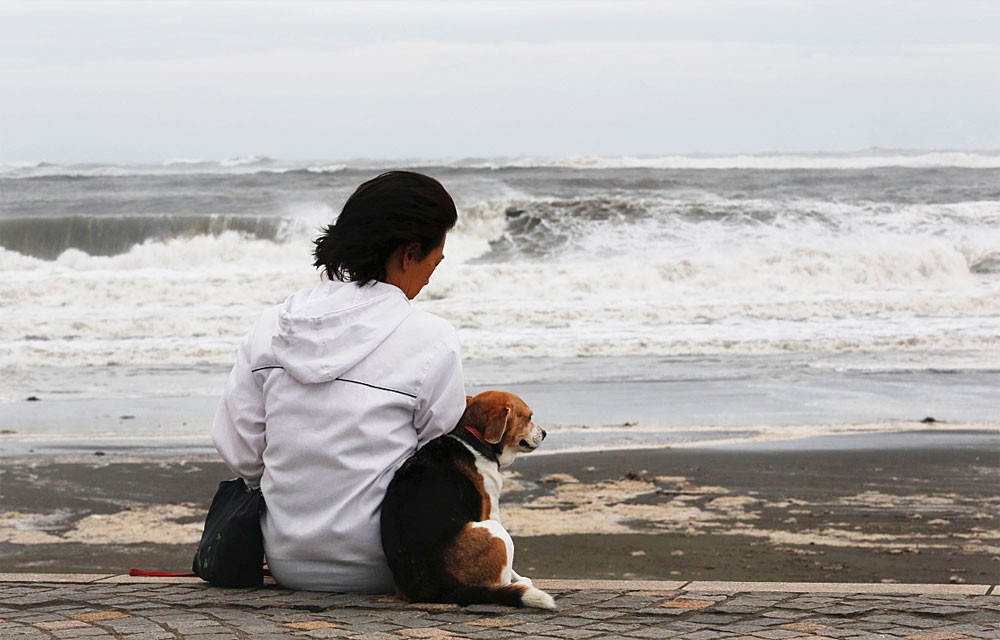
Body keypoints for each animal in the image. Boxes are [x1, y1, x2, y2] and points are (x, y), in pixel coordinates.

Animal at [380, 390, 556, 608]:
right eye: (529, 417)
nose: (545, 433)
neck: (473, 437)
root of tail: (437, 586)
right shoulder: (491, 509)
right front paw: (521, 578)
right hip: (496, 532)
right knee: (500, 580)